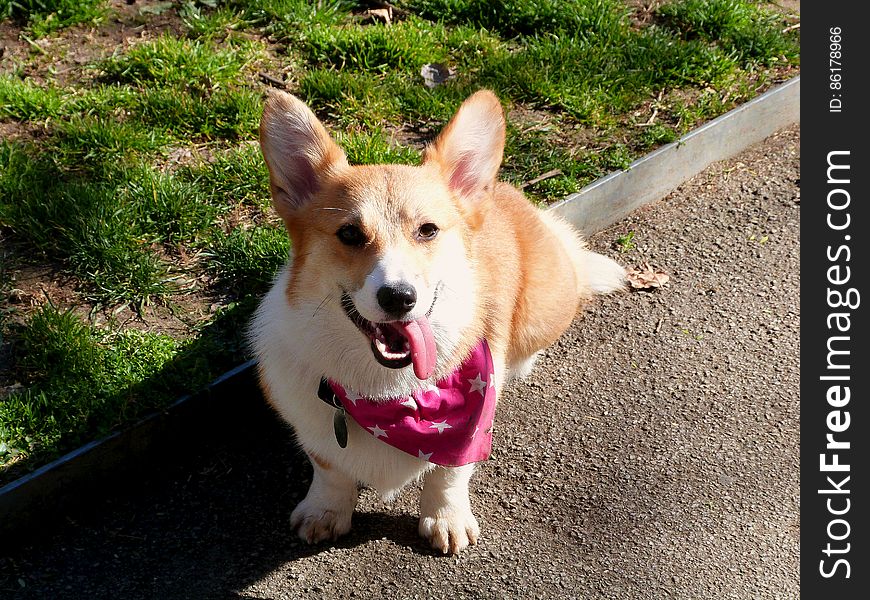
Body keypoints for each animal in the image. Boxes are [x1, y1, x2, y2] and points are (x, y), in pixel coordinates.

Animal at [252, 90, 628, 556]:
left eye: (428, 230)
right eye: (350, 234)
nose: (398, 297)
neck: (388, 392)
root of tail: (511, 196)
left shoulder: (470, 424)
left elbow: (449, 472)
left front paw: (446, 519)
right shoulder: (310, 423)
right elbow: (329, 467)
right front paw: (325, 512)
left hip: (545, 310)